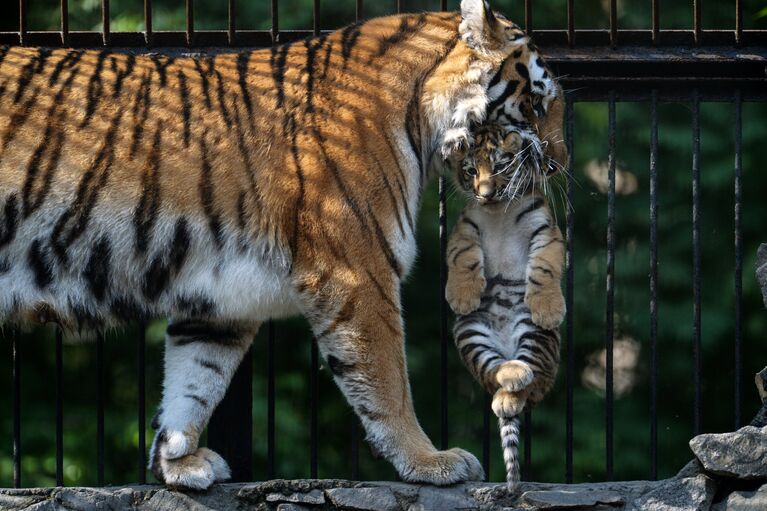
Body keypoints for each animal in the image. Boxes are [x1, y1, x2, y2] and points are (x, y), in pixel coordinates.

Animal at [0, 0, 564, 490]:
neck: (419, 119)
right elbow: (387, 380)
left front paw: (178, 461)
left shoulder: (219, 300)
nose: (558, 163)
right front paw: (429, 461)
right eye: (538, 101)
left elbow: (195, 382)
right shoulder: (358, 273)